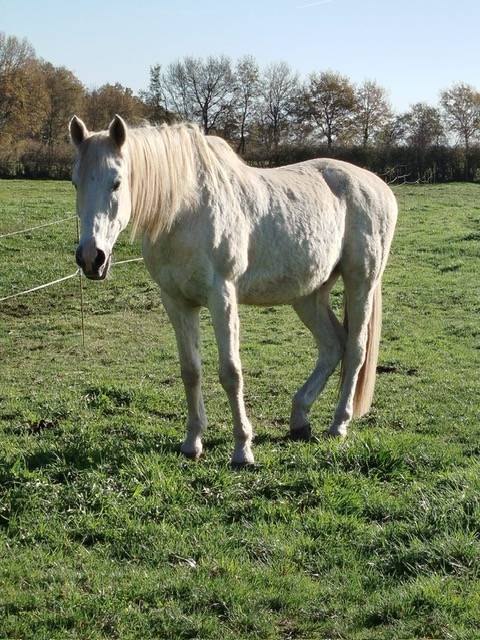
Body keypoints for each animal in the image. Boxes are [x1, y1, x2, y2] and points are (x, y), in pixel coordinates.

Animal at [69, 114, 397, 465]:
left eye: (117, 182)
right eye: (75, 182)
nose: (91, 258)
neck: (185, 210)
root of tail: (380, 187)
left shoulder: (222, 297)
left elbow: (230, 372)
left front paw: (242, 449)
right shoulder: (177, 302)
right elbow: (190, 370)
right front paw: (192, 442)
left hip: (361, 281)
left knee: (356, 349)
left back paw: (338, 424)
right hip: (309, 295)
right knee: (333, 345)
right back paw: (299, 420)